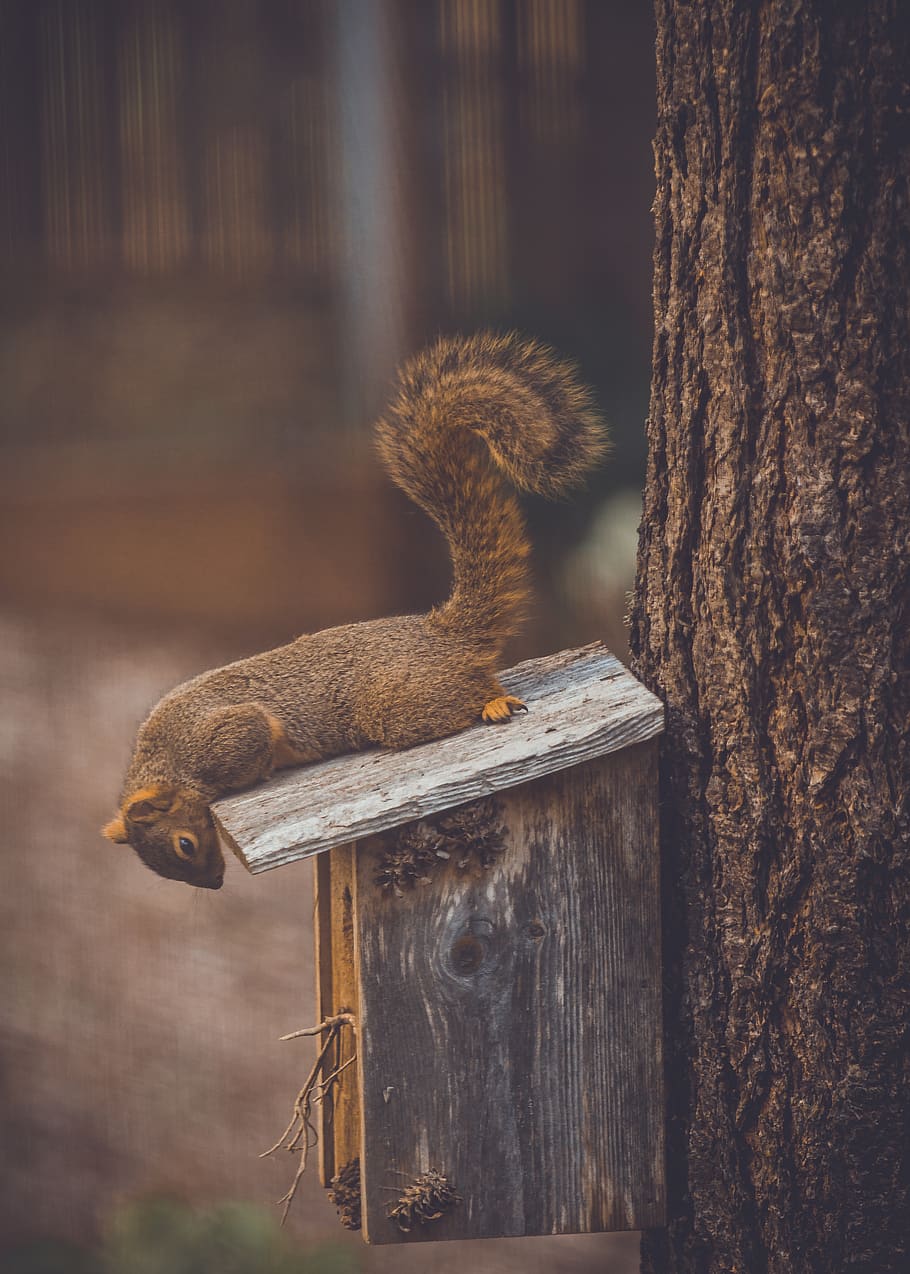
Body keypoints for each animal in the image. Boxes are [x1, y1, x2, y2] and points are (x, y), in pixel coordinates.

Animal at [102, 331, 607, 889]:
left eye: (185, 844)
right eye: (165, 867)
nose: (213, 883)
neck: (166, 764)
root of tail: (441, 632)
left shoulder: (226, 736)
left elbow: (255, 740)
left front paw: (263, 770)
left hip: (397, 704)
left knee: (467, 695)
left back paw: (493, 703)